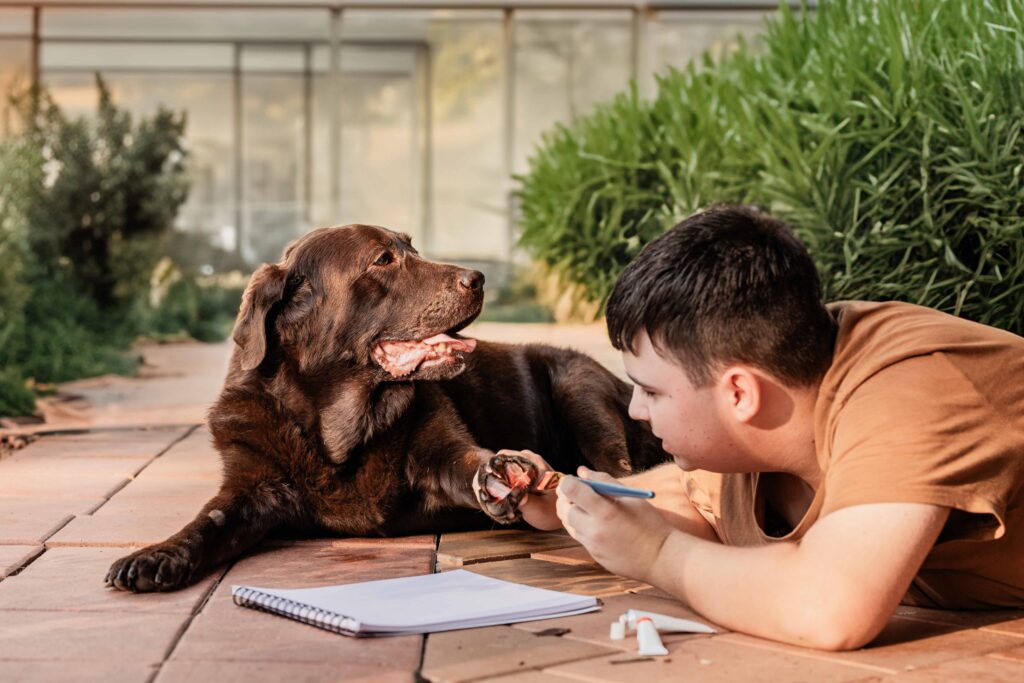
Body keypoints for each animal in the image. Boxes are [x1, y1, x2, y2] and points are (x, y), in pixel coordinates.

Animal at [103, 225, 663, 593]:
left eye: (412, 247)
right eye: (383, 260)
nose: (478, 277)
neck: (339, 430)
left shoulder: (439, 448)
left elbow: (467, 462)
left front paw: (499, 474)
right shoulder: (251, 481)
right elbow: (210, 519)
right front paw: (158, 554)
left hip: (578, 385)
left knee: (620, 470)